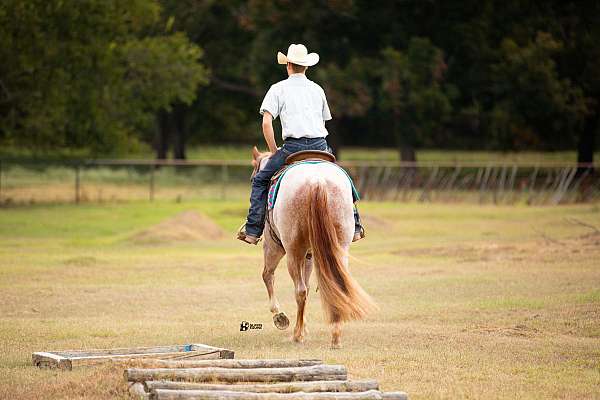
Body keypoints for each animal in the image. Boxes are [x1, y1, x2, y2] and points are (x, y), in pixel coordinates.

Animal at [250, 146, 376, 346]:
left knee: (299, 290)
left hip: (292, 251)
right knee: (336, 286)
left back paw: (297, 335)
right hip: (339, 248)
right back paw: (335, 336)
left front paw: (280, 317)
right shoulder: (310, 254)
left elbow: (267, 275)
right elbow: (308, 286)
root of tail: (317, 181)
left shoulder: (273, 245)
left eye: (253, 177)